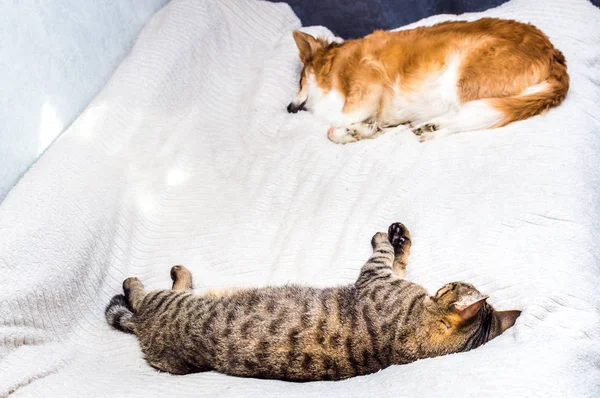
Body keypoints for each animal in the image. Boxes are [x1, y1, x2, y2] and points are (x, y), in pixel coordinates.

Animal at [106, 222, 520, 380]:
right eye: (457, 282)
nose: (447, 283)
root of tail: (144, 333)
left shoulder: (374, 275)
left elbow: (381, 253)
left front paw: (386, 237)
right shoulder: (387, 277)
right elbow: (396, 256)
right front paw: (399, 236)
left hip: (163, 306)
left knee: (140, 294)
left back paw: (158, 276)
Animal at [288, 18, 568, 145]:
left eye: (300, 81)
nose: (288, 108)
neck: (333, 65)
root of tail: (553, 53)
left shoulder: (368, 86)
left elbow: (334, 125)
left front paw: (358, 130)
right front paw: (367, 130)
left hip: (462, 77)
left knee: (471, 117)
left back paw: (432, 127)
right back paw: (427, 126)